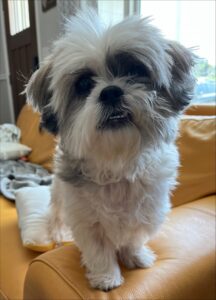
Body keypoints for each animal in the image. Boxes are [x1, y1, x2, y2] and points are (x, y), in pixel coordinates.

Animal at [25, 9, 196, 290]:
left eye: (135, 71)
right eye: (84, 84)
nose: (111, 92)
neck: (117, 161)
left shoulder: (147, 212)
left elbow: (133, 238)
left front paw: (135, 256)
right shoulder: (86, 221)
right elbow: (98, 250)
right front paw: (106, 276)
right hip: (60, 197)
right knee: (56, 215)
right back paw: (58, 232)